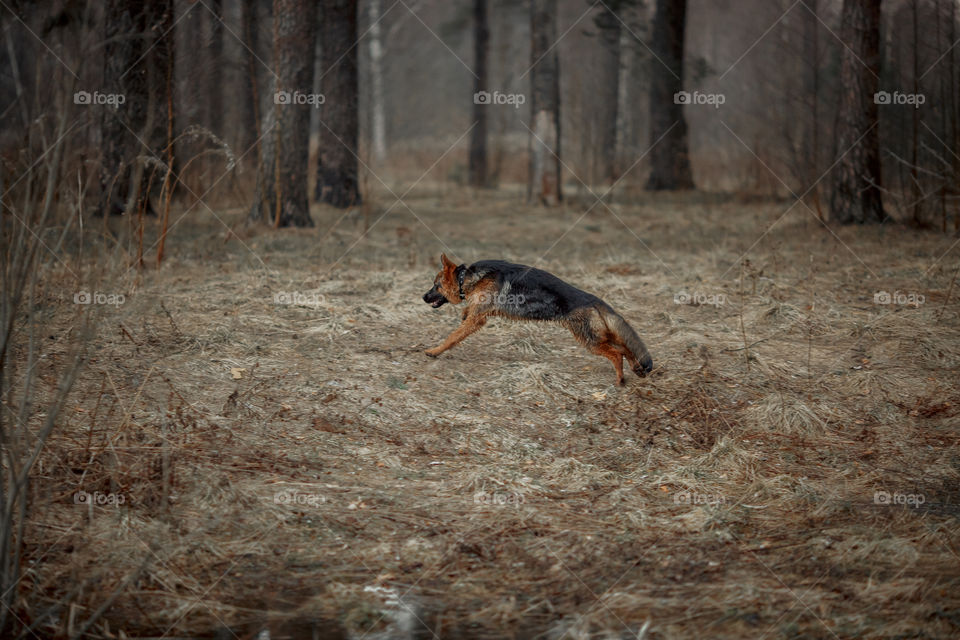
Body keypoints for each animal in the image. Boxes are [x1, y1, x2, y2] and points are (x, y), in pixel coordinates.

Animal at [426, 255, 656, 384]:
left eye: (436, 286)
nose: (423, 297)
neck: (467, 277)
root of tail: (593, 299)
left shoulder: (478, 320)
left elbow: (453, 337)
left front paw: (434, 351)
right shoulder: (480, 313)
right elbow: (467, 313)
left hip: (590, 341)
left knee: (617, 354)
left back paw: (620, 379)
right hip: (599, 336)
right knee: (626, 348)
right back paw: (636, 369)